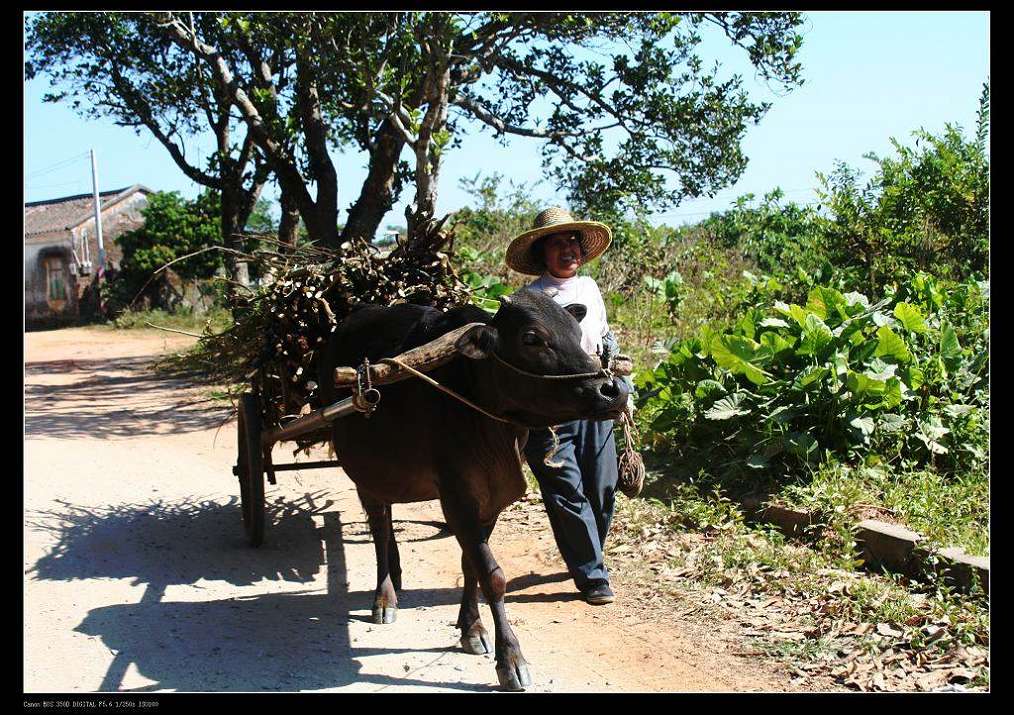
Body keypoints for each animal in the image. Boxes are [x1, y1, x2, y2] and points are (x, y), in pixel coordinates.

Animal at [320, 288, 628, 689]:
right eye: (531, 338)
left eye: (578, 335)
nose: (612, 390)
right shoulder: (457, 498)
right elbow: (492, 576)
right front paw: (510, 659)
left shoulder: (489, 501)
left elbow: (471, 566)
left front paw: (472, 629)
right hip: (363, 472)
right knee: (379, 526)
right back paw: (384, 597)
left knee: (386, 524)